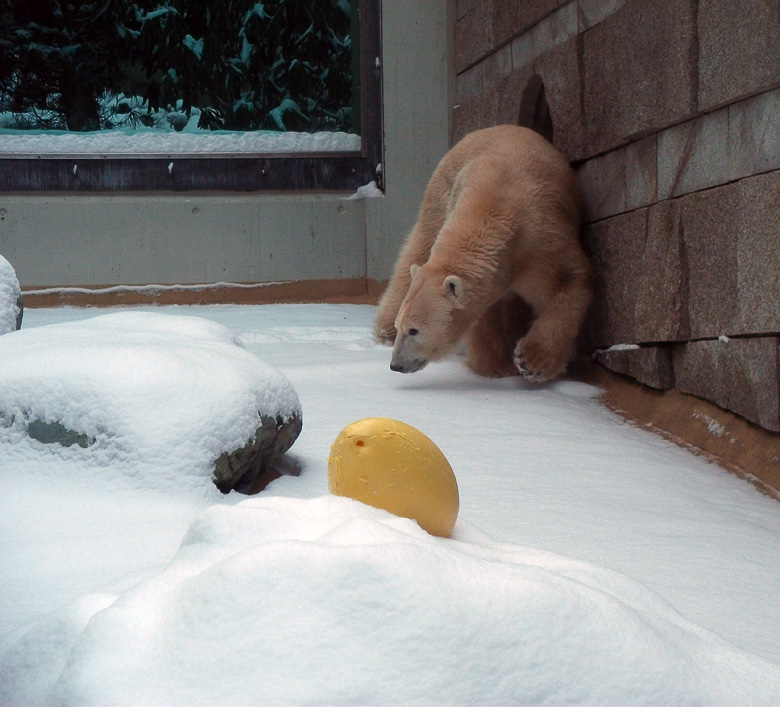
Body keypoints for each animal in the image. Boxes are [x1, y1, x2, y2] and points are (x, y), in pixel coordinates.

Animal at [374, 124, 588, 384]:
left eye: (414, 330)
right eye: (402, 326)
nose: (396, 365)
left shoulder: (543, 242)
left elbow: (567, 283)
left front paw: (532, 362)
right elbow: (482, 315)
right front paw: (497, 367)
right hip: (439, 193)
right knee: (419, 247)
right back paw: (384, 330)